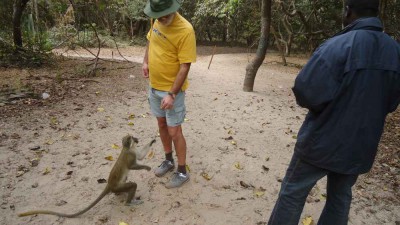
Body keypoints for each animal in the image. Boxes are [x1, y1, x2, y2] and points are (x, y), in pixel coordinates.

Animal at [19, 135, 156, 218]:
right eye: (132, 138)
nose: (137, 139)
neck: (127, 148)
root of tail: (109, 184)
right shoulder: (130, 154)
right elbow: (132, 166)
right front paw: (147, 168)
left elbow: (140, 157)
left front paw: (152, 141)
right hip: (118, 186)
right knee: (132, 185)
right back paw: (128, 203)